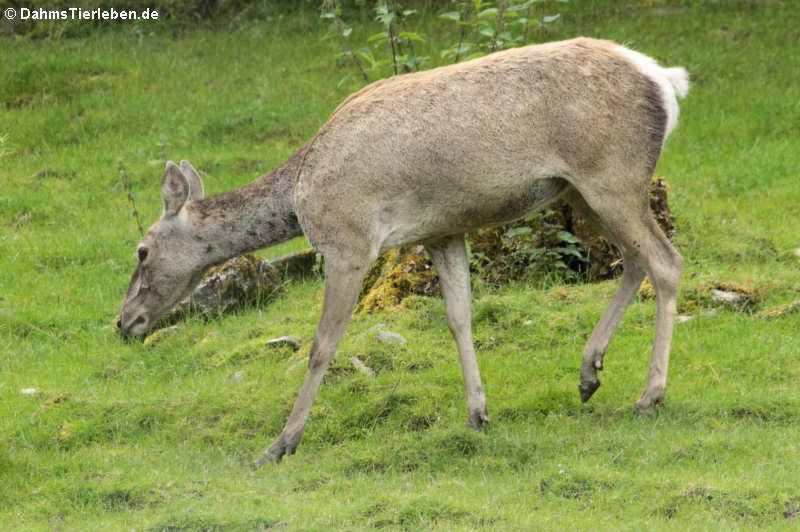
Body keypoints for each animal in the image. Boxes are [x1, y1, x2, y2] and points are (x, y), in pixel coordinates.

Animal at [117, 37, 688, 466]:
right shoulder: (441, 231)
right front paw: (477, 415)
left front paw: (280, 445)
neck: (302, 193)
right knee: (633, 260)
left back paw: (649, 396)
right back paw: (589, 372)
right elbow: (459, 318)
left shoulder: (348, 240)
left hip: (611, 175)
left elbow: (323, 344)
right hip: (579, 191)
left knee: (666, 262)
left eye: (142, 251)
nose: (123, 322)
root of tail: (666, 80)